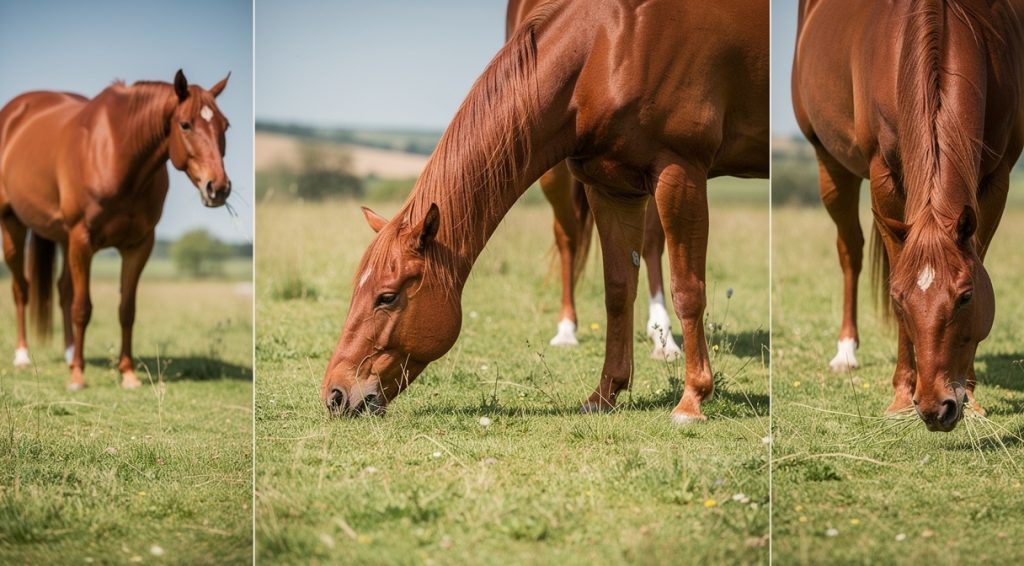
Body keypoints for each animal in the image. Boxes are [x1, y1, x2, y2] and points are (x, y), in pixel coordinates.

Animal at [0, 70, 232, 390]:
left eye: (225, 125)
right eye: (185, 124)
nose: (218, 188)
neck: (117, 154)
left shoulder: (139, 245)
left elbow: (126, 310)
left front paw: (128, 374)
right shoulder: (82, 239)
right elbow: (83, 308)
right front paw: (77, 376)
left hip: (63, 238)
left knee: (63, 290)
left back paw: (69, 352)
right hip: (14, 224)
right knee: (21, 288)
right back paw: (23, 356)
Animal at [793, 0, 1024, 431]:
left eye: (966, 296)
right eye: (898, 299)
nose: (935, 408)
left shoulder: (998, 178)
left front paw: (971, 396)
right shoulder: (883, 173)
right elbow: (894, 263)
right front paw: (901, 394)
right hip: (828, 161)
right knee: (850, 250)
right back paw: (846, 352)